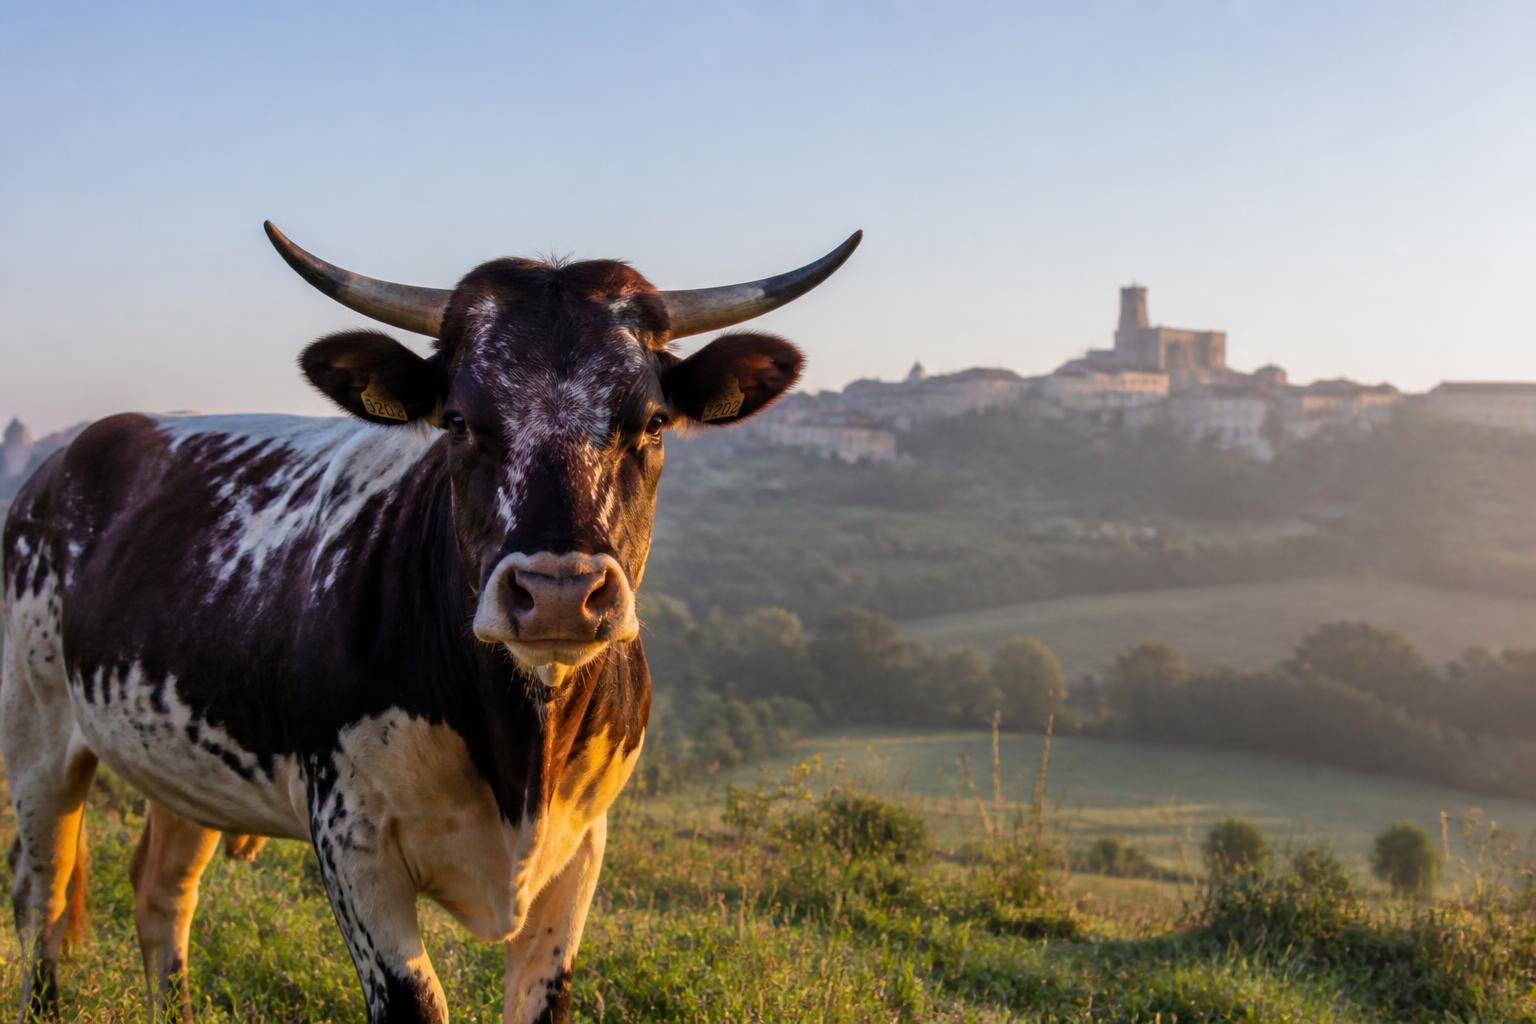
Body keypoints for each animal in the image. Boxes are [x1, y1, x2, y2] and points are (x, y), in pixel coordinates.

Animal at [0, 222, 860, 1023]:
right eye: (457, 420)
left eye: (651, 422)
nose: (556, 593)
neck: (522, 750)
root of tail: (66, 459)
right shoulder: (351, 842)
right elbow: (416, 1001)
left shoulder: (582, 850)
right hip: (37, 736)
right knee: (42, 897)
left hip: (182, 766)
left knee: (162, 896)